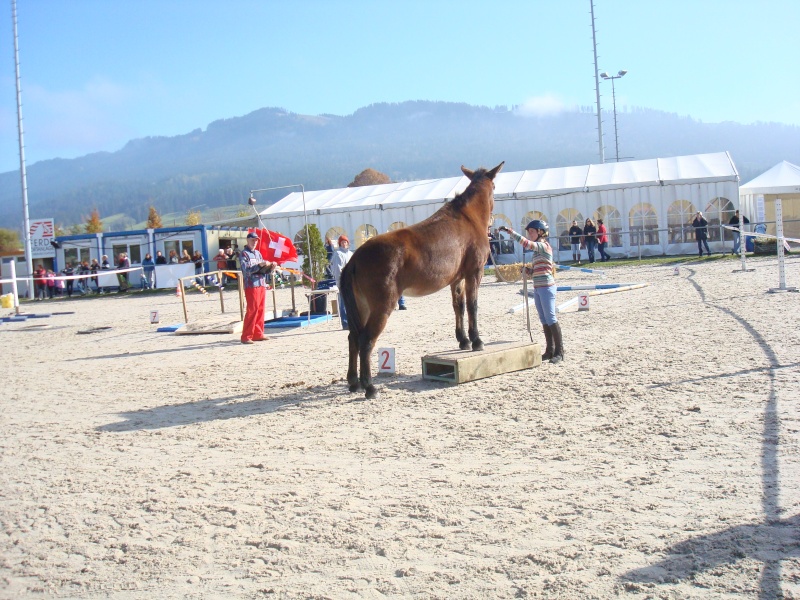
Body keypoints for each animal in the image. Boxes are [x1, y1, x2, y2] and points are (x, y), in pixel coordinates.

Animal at [340, 164, 504, 398]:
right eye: (495, 187)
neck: (467, 218)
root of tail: (355, 258)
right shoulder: (475, 272)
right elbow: (472, 306)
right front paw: (476, 341)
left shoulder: (457, 279)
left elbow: (459, 307)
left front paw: (463, 340)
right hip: (381, 307)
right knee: (366, 341)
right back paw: (369, 387)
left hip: (361, 307)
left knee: (353, 339)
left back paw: (354, 382)